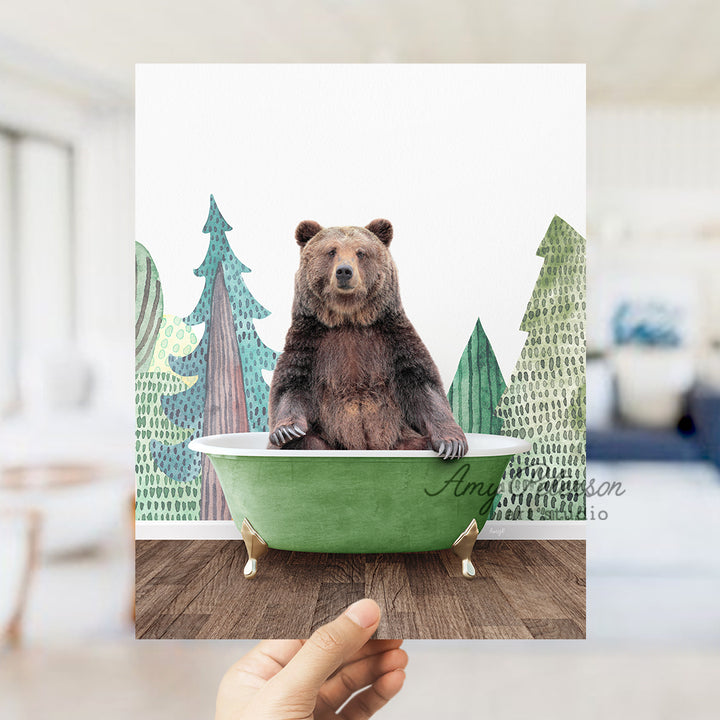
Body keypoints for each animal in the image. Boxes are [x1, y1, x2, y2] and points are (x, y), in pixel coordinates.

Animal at [268, 217, 470, 462]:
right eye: (331, 251)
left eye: (361, 252)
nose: (344, 271)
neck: (349, 318)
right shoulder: (311, 340)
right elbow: (290, 385)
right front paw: (287, 430)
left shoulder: (392, 338)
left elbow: (423, 385)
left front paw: (452, 443)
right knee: (308, 442)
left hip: (402, 439)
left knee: (418, 443)